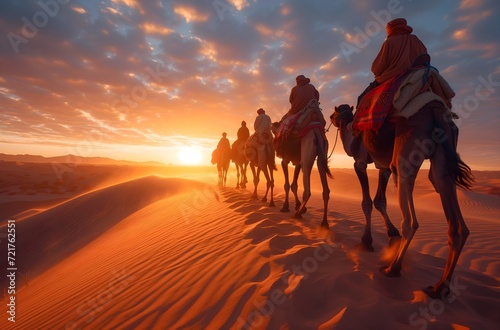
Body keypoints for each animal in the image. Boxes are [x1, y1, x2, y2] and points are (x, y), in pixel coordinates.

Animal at [274, 100, 332, 228]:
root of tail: (315, 131)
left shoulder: (285, 160)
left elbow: (287, 184)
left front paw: (286, 207)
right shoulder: (298, 162)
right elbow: (294, 185)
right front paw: (298, 205)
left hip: (307, 155)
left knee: (307, 190)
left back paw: (297, 215)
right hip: (322, 154)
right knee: (325, 189)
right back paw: (324, 222)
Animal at [330, 108, 400, 250]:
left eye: (335, 113)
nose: (329, 117)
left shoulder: (360, 162)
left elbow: (367, 201)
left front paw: (366, 240)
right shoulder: (384, 166)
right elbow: (380, 200)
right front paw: (393, 233)